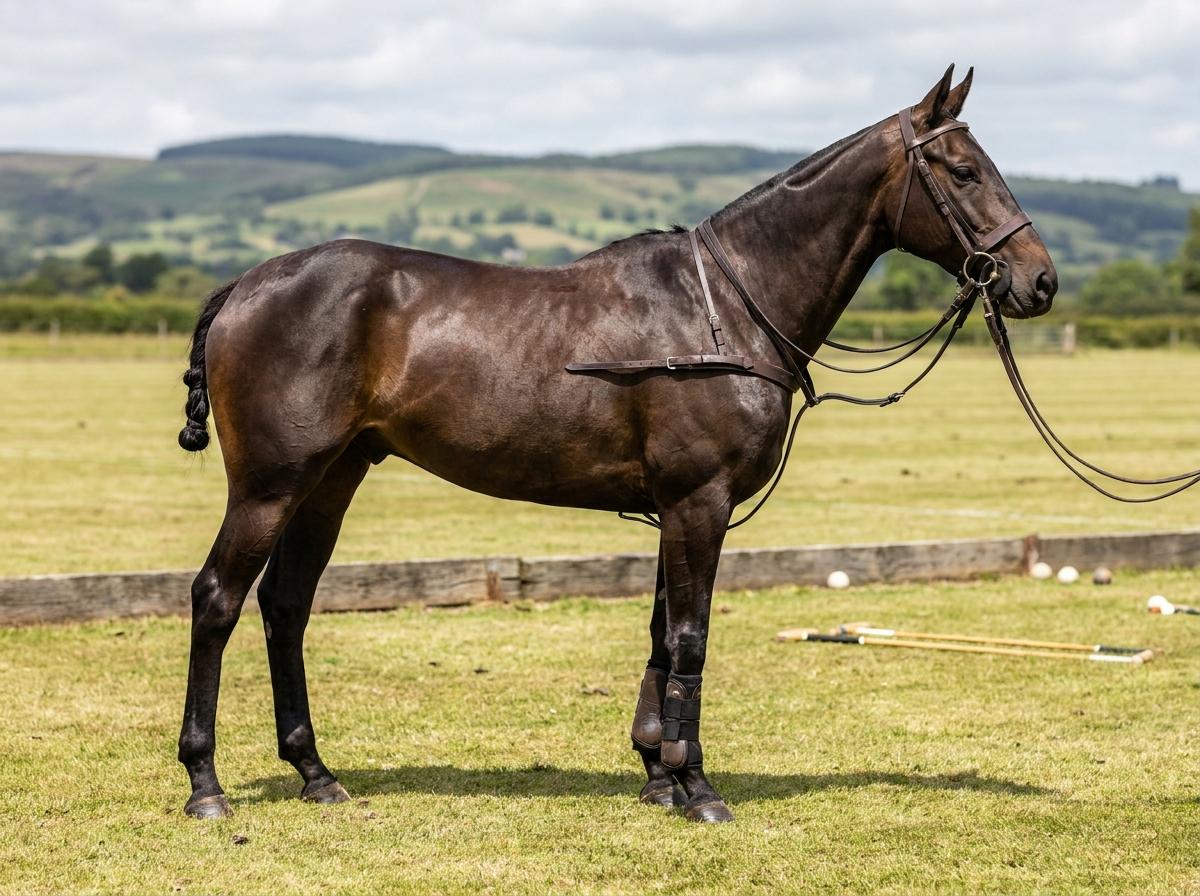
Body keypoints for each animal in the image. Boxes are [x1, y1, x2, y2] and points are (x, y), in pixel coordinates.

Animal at [175, 64, 1056, 824]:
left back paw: (315, 772)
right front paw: (698, 787)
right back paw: (204, 783)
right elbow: (692, 638)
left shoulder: (676, 506)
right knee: (217, 598)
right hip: (271, 483)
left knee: (286, 604)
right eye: (963, 169)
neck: (726, 308)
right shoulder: (699, 501)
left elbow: (663, 635)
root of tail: (244, 284)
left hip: (333, 477)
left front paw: (658, 773)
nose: (1039, 281)